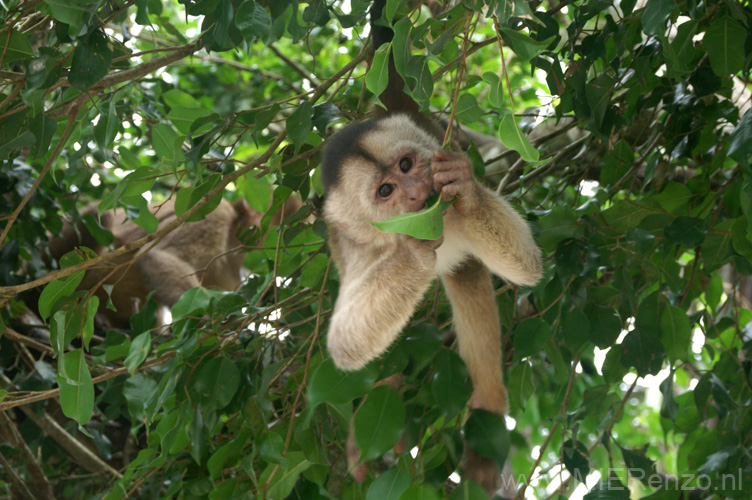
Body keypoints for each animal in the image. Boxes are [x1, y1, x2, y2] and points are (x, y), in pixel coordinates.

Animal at [320, 0, 544, 492]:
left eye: (407, 164)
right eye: (386, 191)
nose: (417, 190)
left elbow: (527, 267)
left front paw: (463, 186)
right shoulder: (360, 250)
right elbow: (345, 346)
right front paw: (411, 250)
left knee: (468, 279)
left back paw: (487, 412)